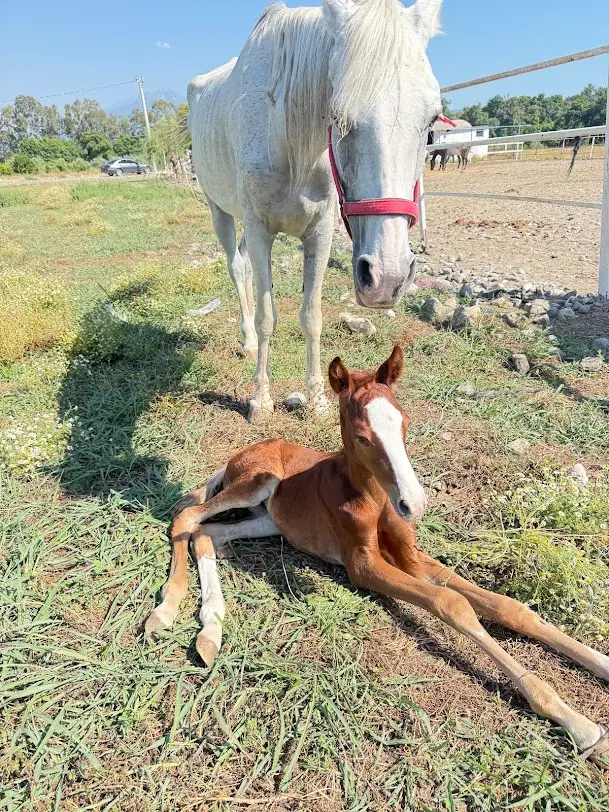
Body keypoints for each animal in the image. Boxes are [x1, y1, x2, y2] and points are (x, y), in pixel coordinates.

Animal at [145, 345, 609, 763]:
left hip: (269, 519)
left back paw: (210, 628)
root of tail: (235, 456)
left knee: (208, 535)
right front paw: (578, 723)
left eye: (405, 423)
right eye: (362, 436)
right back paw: (167, 610)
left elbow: (508, 606)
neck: (373, 497)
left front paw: (599, 663)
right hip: (257, 482)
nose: (414, 504)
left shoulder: (412, 556)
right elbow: (452, 603)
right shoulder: (363, 565)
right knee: (186, 518)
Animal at [187, 0, 444, 420]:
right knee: (236, 267)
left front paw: (317, 398)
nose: (387, 279)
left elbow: (312, 317)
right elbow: (267, 317)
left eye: (432, 120)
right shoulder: (260, 228)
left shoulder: (319, 232)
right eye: (338, 116)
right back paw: (247, 342)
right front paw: (260, 400)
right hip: (220, 211)